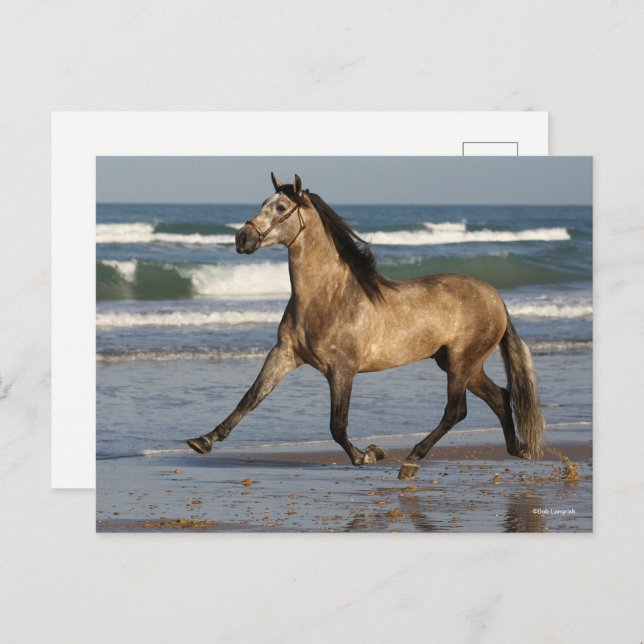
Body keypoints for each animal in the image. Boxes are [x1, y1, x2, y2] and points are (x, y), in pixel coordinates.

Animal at [187, 173, 545, 480]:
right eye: (263, 201)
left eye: (281, 208)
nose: (242, 238)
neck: (327, 298)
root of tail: (496, 297)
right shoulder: (285, 354)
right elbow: (250, 397)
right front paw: (204, 440)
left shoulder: (342, 369)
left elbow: (337, 425)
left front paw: (369, 454)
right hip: (458, 363)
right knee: (499, 396)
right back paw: (517, 448)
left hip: (461, 362)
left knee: (456, 411)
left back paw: (412, 459)